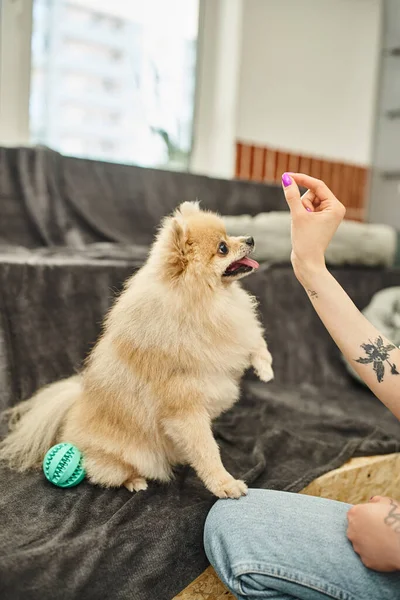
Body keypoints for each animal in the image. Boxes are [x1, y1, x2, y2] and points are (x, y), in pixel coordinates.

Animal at [0, 202, 274, 496]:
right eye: (222, 247)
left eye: (230, 235)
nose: (250, 239)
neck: (206, 301)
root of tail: (74, 411)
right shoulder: (185, 410)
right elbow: (207, 451)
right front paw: (224, 484)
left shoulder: (234, 329)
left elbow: (253, 341)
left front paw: (265, 367)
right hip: (123, 457)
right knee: (111, 472)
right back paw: (135, 481)